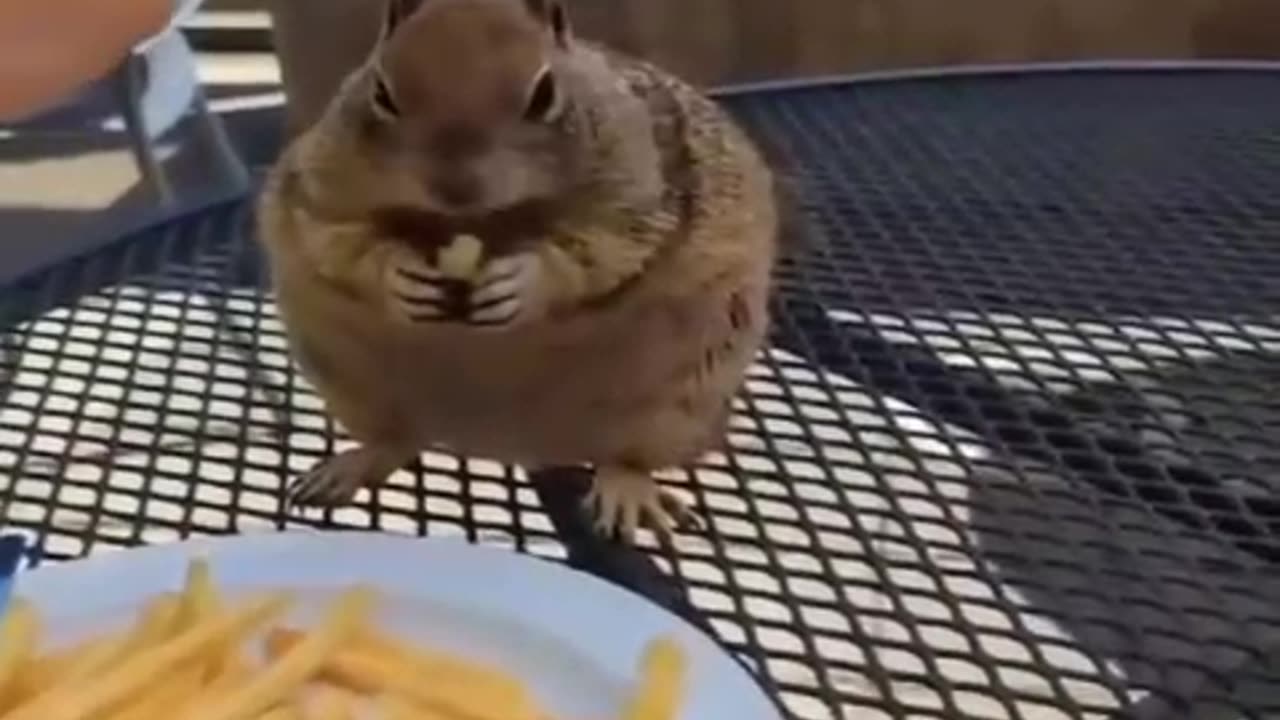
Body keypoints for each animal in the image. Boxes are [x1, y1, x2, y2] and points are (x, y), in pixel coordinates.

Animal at [256, 0, 780, 543]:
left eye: (544, 92)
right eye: (382, 91)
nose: (456, 188)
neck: (479, 221)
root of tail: (509, 443)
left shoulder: (637, 198)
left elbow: (596, 250)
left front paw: (522, 282)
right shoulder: (320, 187)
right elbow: (341, 241)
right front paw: (400, 276)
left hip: (676, 403)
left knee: (627, 458)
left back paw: (627, 493)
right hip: (352, 387)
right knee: (398, 440)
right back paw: (347, 469)